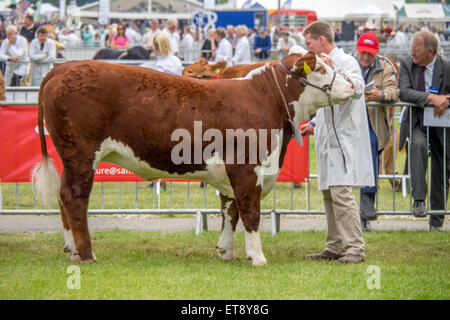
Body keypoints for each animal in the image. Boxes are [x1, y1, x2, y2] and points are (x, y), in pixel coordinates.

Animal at [32, 53, 356, 268]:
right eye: (321, 68)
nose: (353, 86)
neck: (266, 100)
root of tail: (65, 67)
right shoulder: (247, 169)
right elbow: (250, 213)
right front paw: (258, 257)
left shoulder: (232, 174)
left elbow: (229, 211)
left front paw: (227, 251)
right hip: (81, 152)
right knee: (74, 197)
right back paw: (87, 255)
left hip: (70, 157)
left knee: (63, 196)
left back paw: (72, 249)